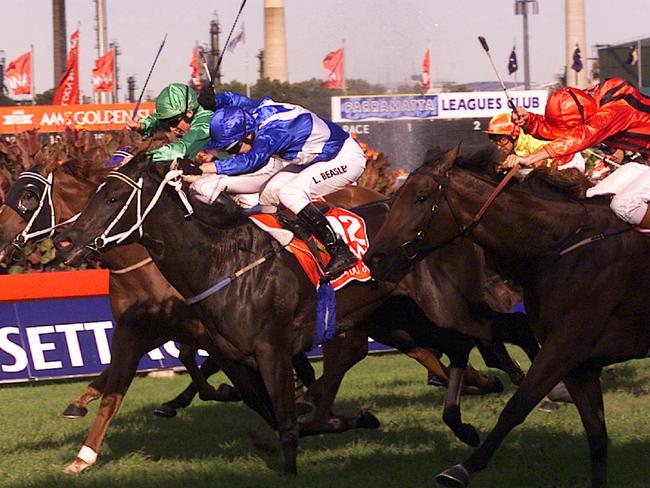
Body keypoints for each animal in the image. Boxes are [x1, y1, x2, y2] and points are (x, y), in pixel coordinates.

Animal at [362, 146, 648, 488]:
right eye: (397, 195)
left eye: (420, 197)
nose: (374, 258)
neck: (559, 246)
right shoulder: (581, 364)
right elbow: (597, 436)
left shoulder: (566, 346)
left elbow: (517, 406)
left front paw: (460, 468)